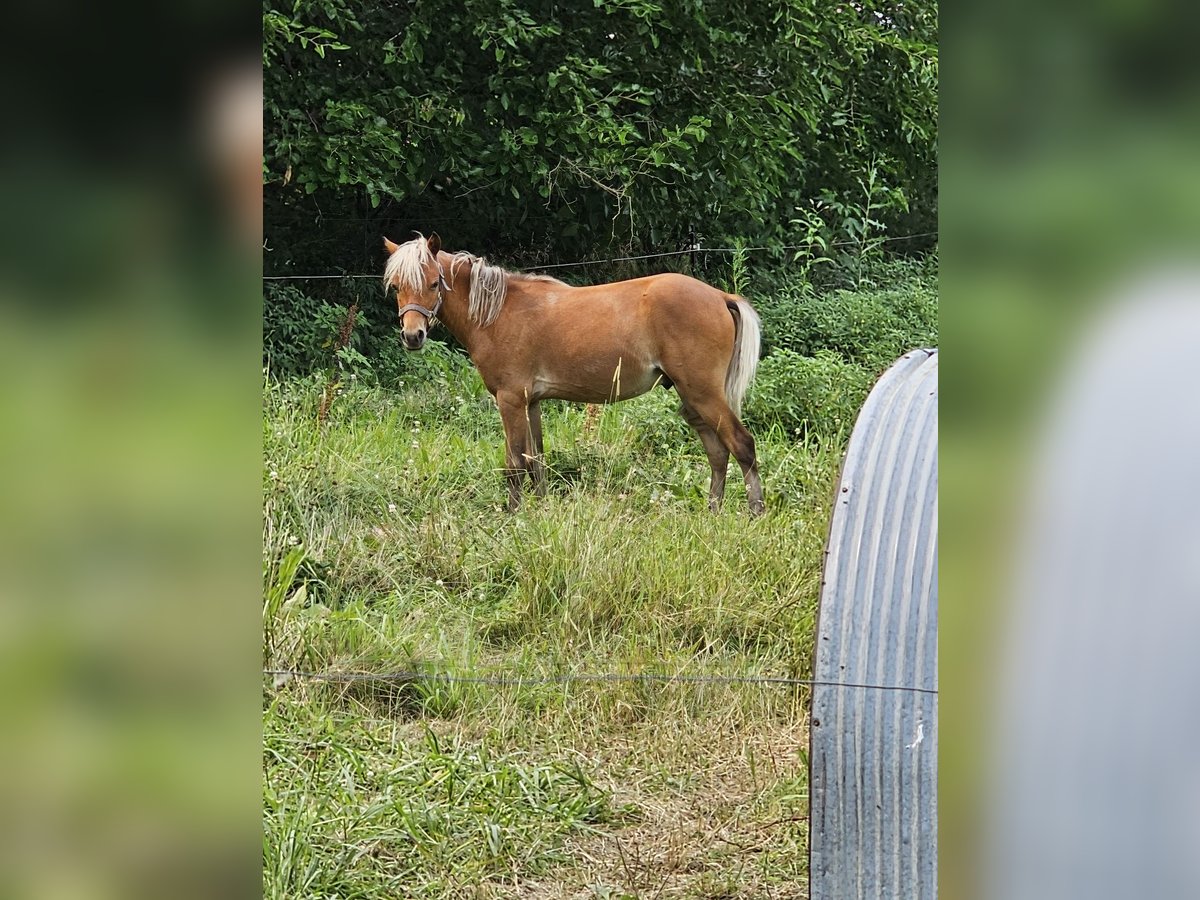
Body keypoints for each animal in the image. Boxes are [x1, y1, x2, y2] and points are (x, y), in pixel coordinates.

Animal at [379, 232, 763, 513]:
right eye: (396, 285)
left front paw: (513, 514)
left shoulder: (510, 401)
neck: (499, 312)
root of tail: (720, 296)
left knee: (741, 445)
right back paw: (712, 512)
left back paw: (754, 513)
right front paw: (539, 509)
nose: (413, 336)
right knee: (718, 453)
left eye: (433, 283)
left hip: (703, 393)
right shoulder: (531, 403)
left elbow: (514, 463)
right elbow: (536, 460)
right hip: (692, 398)